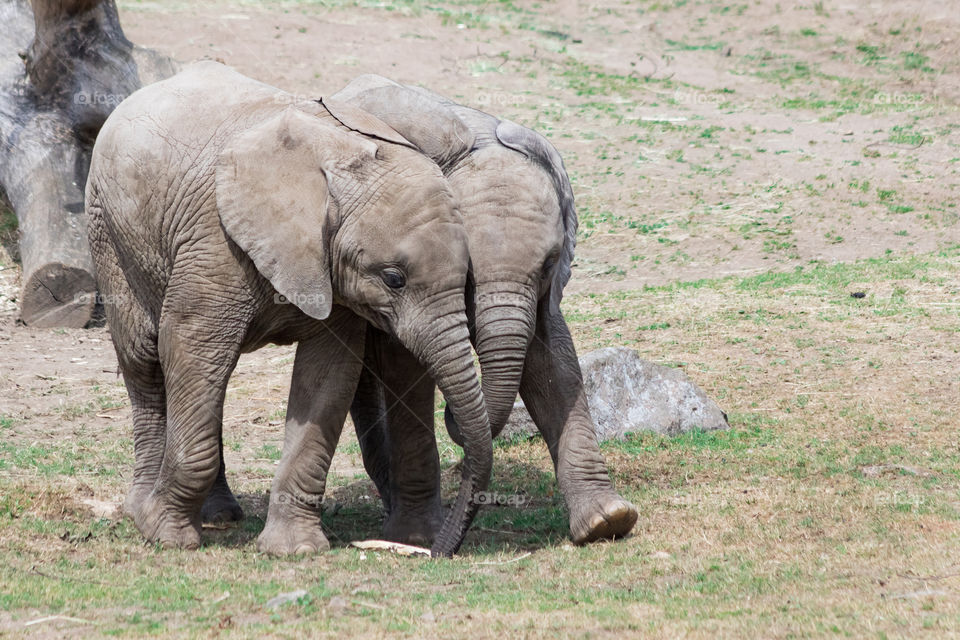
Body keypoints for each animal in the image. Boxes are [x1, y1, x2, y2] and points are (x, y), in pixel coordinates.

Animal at [85, 61, 492, 557]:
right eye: (393, 278)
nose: (437, 553)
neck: (336, 170)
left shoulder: (329, 270)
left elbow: (328, 377)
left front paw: (295, 551)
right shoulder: (216, 242)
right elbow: (191, 345)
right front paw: (165, 536)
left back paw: (217, 515)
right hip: (106, 229)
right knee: (146, 358)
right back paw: (143, 510)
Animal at [327, 75, 639, 545]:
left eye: (550, 263)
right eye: (467, 271)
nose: (453, 416)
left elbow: (552, 362)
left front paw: (608, 521)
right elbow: (406, 369)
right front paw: (418, 536)